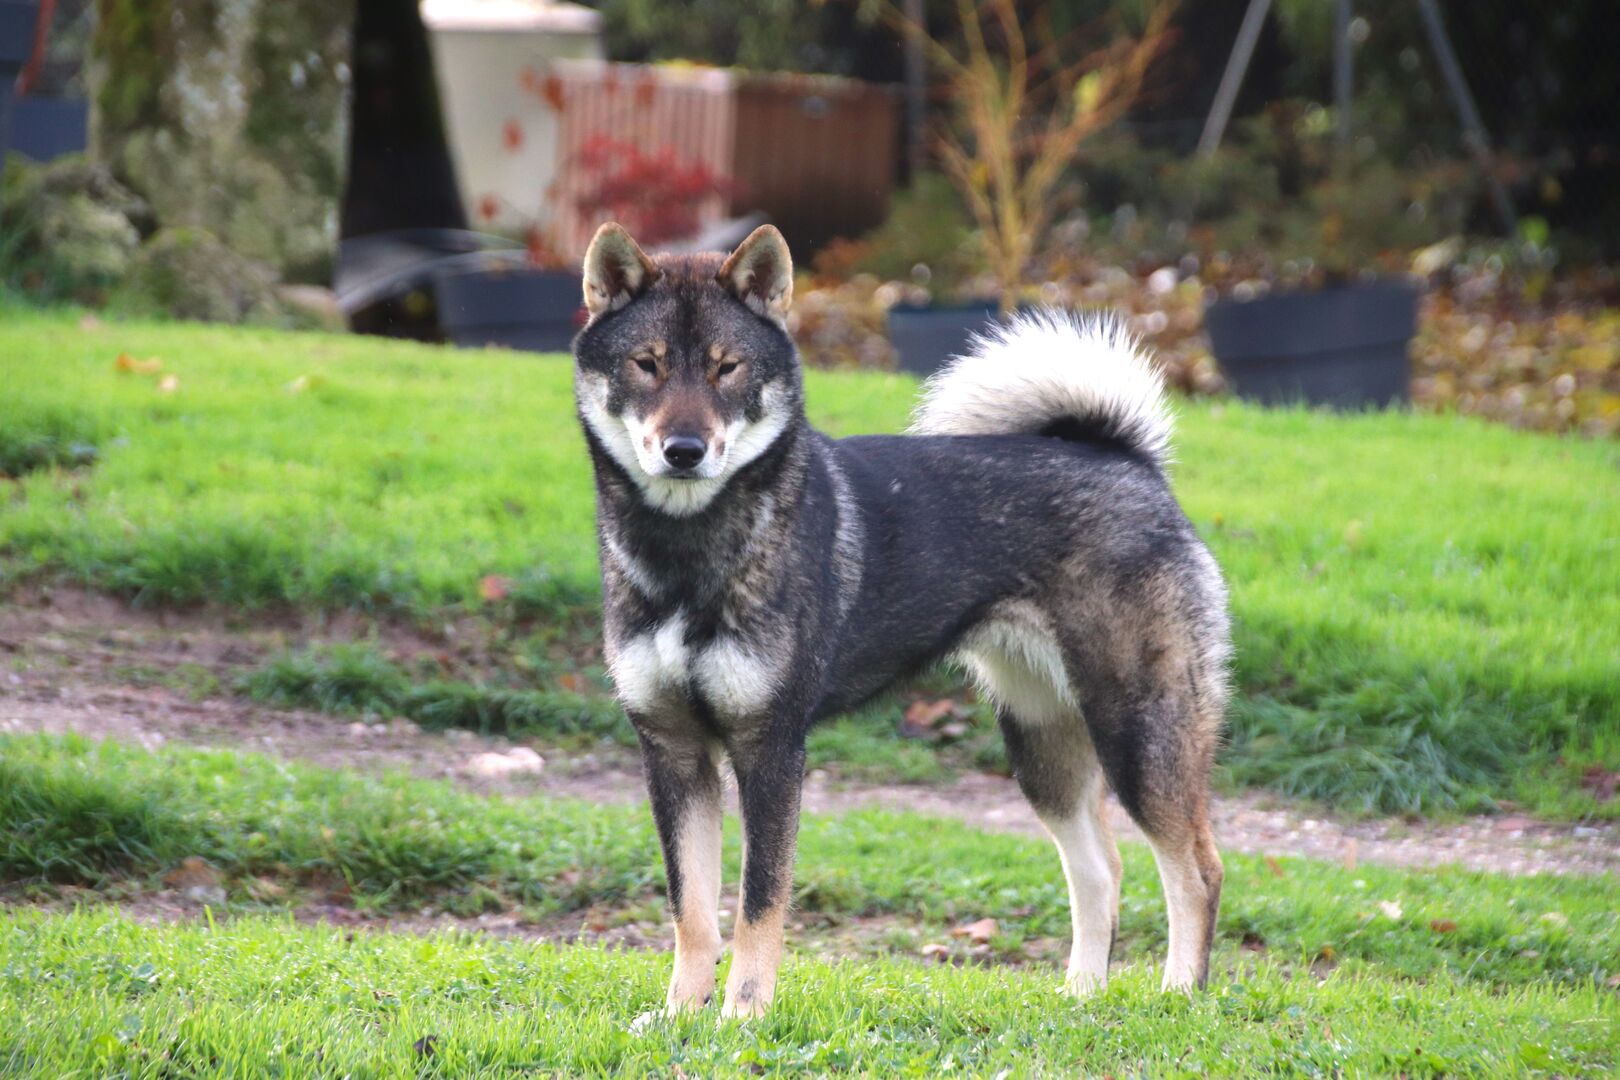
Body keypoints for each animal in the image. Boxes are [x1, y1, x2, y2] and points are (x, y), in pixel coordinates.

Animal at [573, 222, 1230, 1018]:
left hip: (1141, 733)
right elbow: (692, 910)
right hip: (1041, 742)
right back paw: (1080, 997)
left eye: (728, 368)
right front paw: (678, 1016)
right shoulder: (674, 752)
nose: (685, 450)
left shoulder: (771, 751)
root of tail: (1130, 462)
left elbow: (759, 902)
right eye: (647, 364)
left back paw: (1180, 995)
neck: (687, 559)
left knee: (1197, 868)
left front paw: (742, 1016)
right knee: (1101, 869)